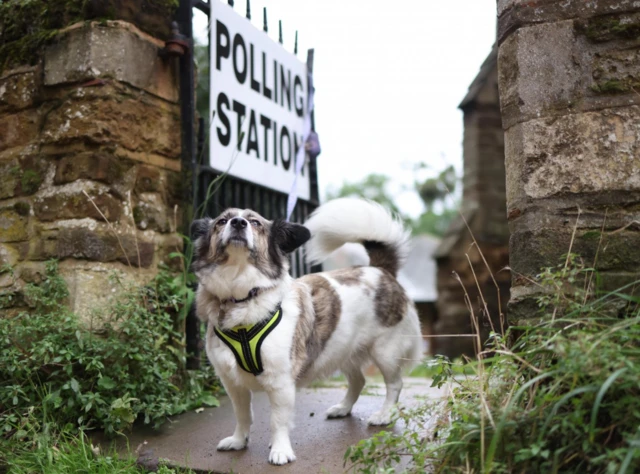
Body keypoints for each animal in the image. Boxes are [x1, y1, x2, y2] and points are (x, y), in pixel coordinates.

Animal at [191, 198, 424, 464]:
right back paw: (343, 408)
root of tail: (379, 269)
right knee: (358, 380)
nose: (238, 223)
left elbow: (277, 421)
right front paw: (239, 441)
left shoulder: (280, 381)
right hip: (342, 349)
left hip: (385, 352)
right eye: (221, 221)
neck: (242, 297)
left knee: (394, 384)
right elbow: (242, 415)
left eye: (256, 223)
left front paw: (280, 450)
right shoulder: (232, 382)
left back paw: (384, 414)